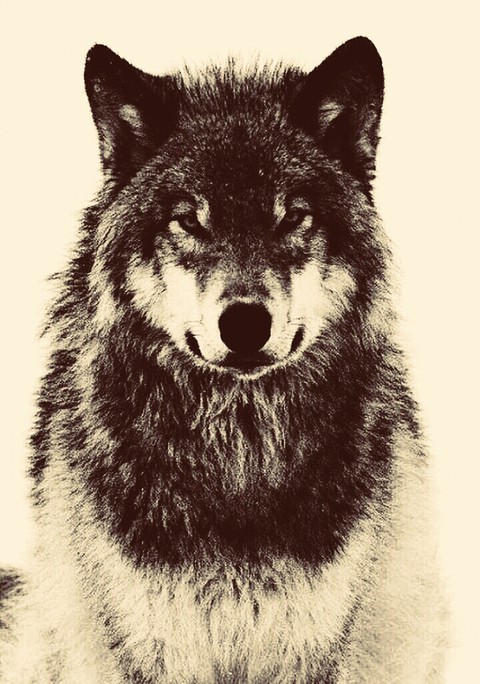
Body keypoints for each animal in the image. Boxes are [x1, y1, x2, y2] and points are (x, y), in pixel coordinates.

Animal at [0, 37, 446, 682]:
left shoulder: (316, 637)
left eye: (292, 216)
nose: (244, 324)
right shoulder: (149, 639)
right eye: (189, 219)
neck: (238, 453)